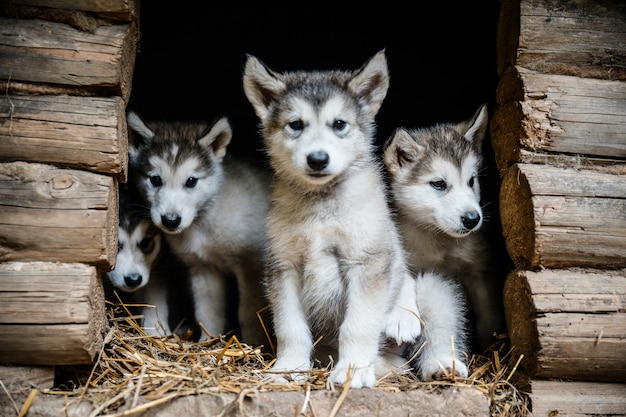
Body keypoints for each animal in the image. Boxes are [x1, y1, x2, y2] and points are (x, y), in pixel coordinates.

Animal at [103, 180, 197, 336]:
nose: (133, 280)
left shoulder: (159, 270)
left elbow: (155, 296)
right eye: (115, 246)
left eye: (145, 243)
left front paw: (155, 328)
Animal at [126, 112, 270, 342]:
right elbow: (207, 312)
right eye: (155, 180)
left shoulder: (252, 264)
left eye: (191, 181)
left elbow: (249, 314)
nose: (171, 220)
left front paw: (254, 344)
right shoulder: (204, 267)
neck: (203, 223)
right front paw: (207, 341)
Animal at [241, 51, 422, 386]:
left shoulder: (366, 261)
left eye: (339, 124)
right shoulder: (283, 266)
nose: (317, 159)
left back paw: (401, 320)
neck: (321, 205)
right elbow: (290, 327)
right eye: (296, 125)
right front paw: (289, 367)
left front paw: (353, 370)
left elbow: (358, 325)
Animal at [380, 102, 508, 350]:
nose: (472, 219)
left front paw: (490, 343)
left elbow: (488, 313)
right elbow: (403, 278)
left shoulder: (481, 270)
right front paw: (403, 318)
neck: (438, 240)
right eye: (438, 184)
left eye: (471, 181)